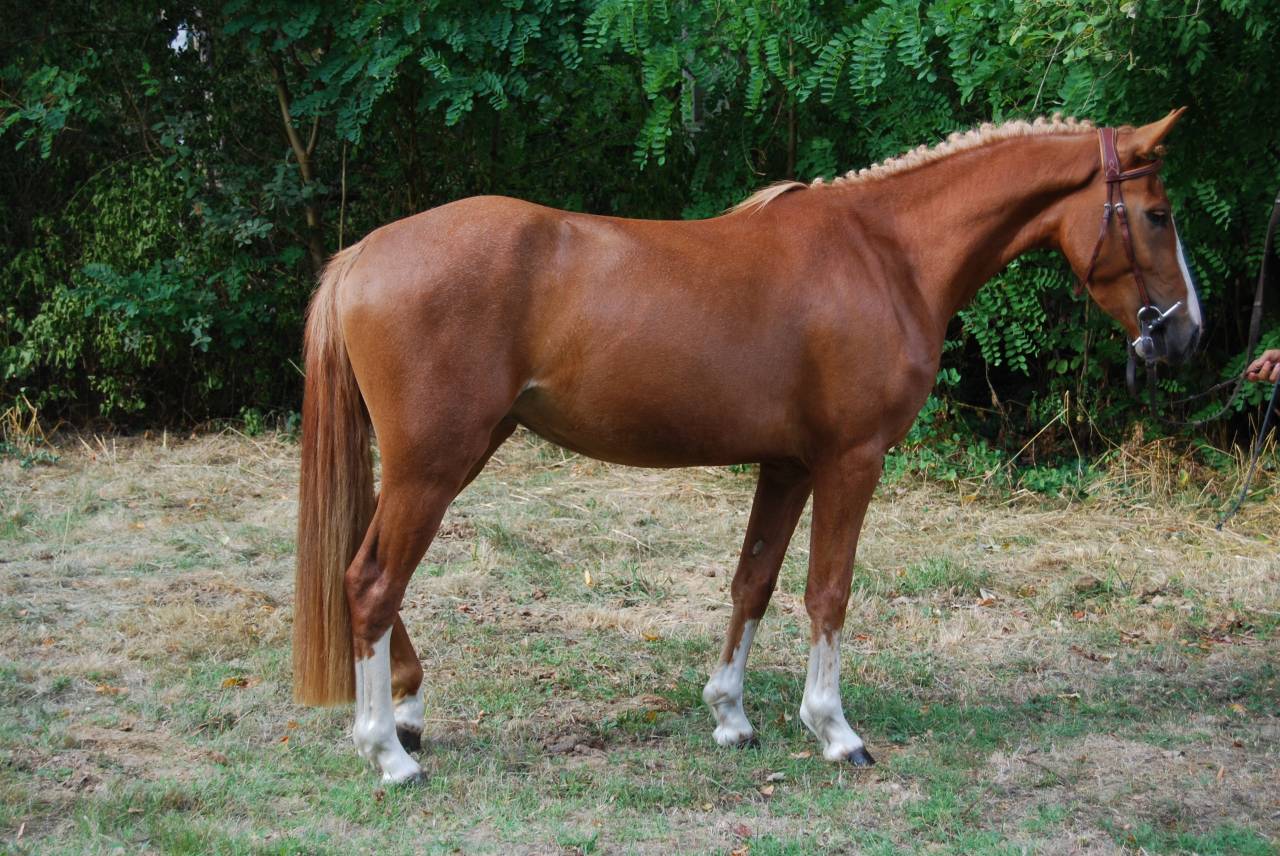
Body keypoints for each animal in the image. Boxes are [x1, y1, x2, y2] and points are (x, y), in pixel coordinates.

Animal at [292, 110, 1201, 784]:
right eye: (1157, 215)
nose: (1184, 334)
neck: (886, 254)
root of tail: (364, 252)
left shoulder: (789, 465)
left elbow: (753, 582)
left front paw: (731, 714)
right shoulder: (852, 460)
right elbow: (828, 591)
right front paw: (834, 730)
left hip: (446, 458)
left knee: (368, 575)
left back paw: (408, 714)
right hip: (435, 464)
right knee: (370, 582)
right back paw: (387, 751)